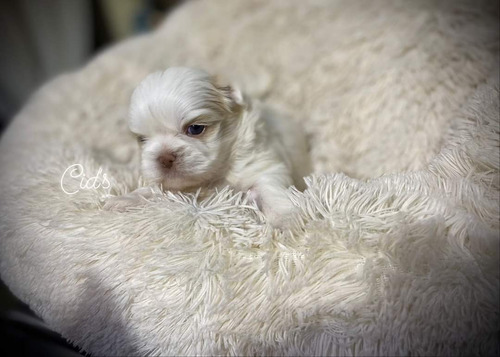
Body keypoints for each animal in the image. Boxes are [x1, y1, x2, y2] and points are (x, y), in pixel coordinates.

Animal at [104, 67, 310, 227]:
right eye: (142, 139)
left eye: (195, 128)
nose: (164, 157)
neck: (213, 177)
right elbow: (151, 190)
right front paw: (124, 199)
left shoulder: (263, 167)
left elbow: (271, 193)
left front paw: (288, 220)